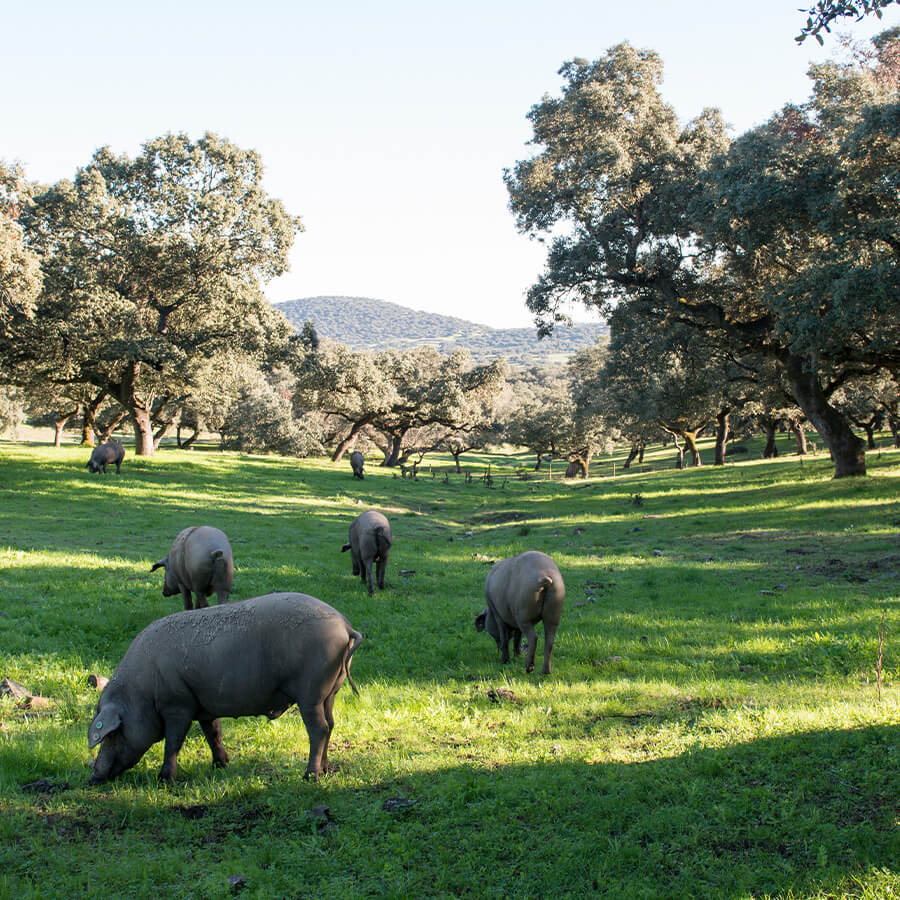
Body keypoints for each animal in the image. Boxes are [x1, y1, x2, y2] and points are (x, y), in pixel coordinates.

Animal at [88, 592, 362, 784]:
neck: (141, 692)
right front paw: (221, 765)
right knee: (331, 724)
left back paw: (309, 776)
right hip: (330, 691)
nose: (93, 777)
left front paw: (165, 779)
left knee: (319, 729)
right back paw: (324, 770)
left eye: (113, 734)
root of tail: (344, 625)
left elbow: (173, 743)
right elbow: (213, 733)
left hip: (310, 691)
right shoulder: (203, 706)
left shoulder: (177, 705)